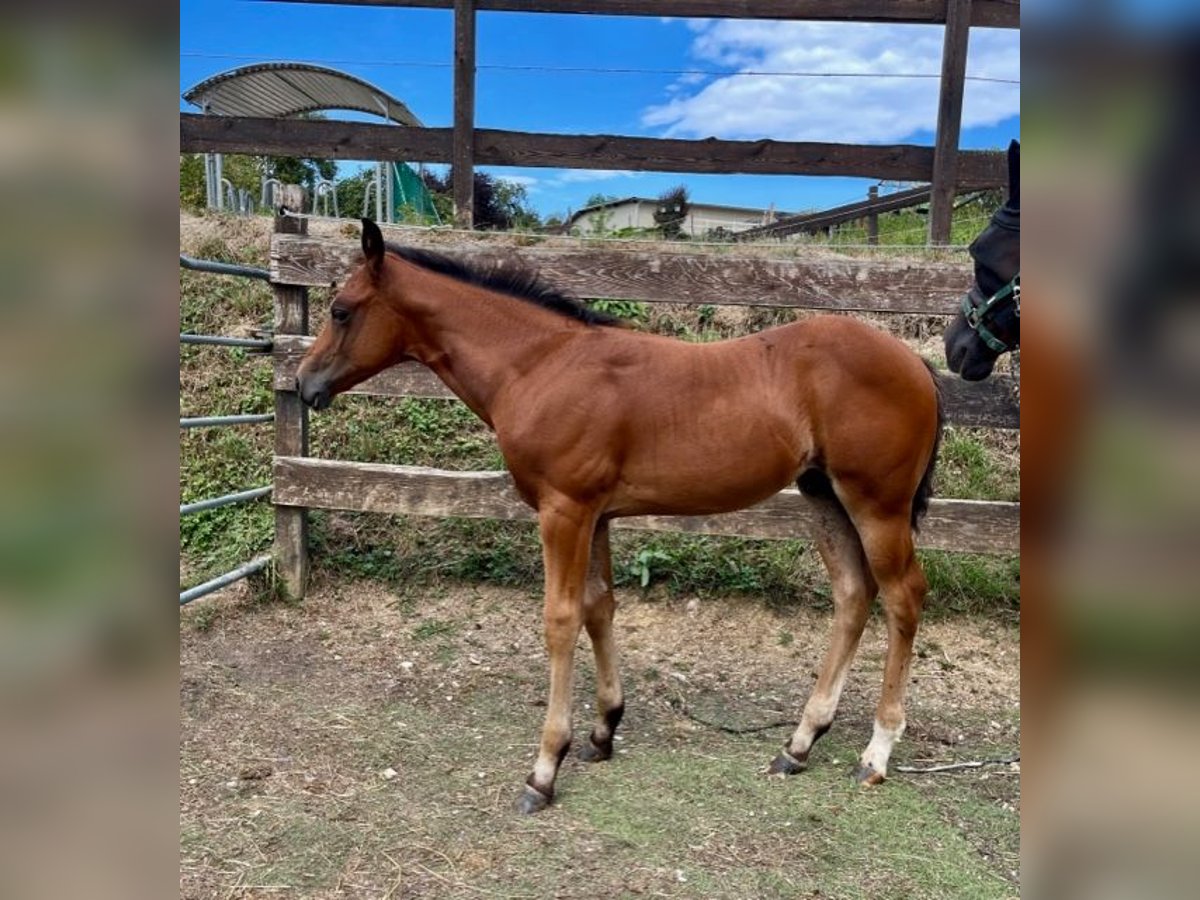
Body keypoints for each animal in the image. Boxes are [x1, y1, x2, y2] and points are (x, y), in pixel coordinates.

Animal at [295, 222, 940, 816]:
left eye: (341, 310)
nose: (303, 384)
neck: (539, 365)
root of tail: (916, 364)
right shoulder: (597, 514)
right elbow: (599, 606)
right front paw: (604, 730)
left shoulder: (565, 510)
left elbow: (560, 619)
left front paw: (544, 768)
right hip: (823, 494)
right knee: (853, 594)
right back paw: (800, 743)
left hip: (877, 504)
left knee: (903, 596)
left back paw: (877, 752)